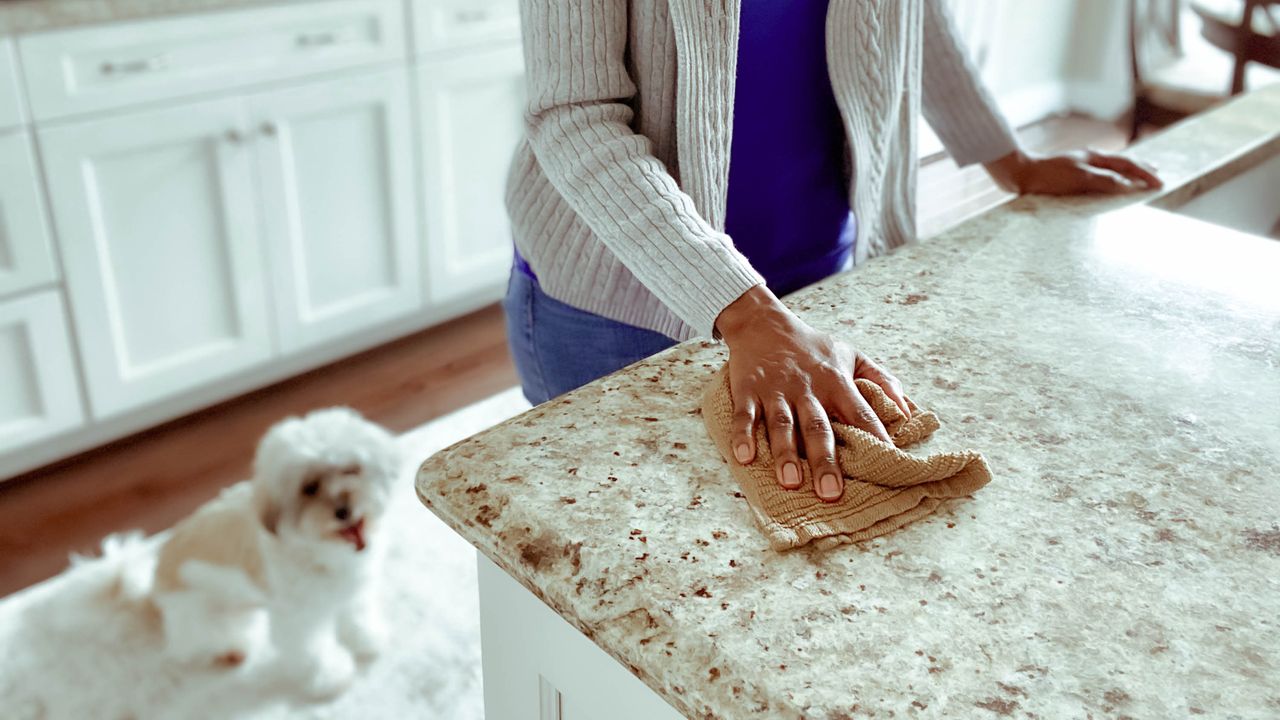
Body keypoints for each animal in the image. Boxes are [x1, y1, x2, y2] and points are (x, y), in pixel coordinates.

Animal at [104, 407, 399, 696]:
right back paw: (230, 651)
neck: (322, 548)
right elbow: (312, 650)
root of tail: (152, 590)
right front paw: (330, 677)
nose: (344, 510)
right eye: (309, 488)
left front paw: (366, 638)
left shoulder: (352, 590)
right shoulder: (299, 617)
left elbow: (357, 615)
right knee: (195, 643)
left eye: (351, 469)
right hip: (199, 615)